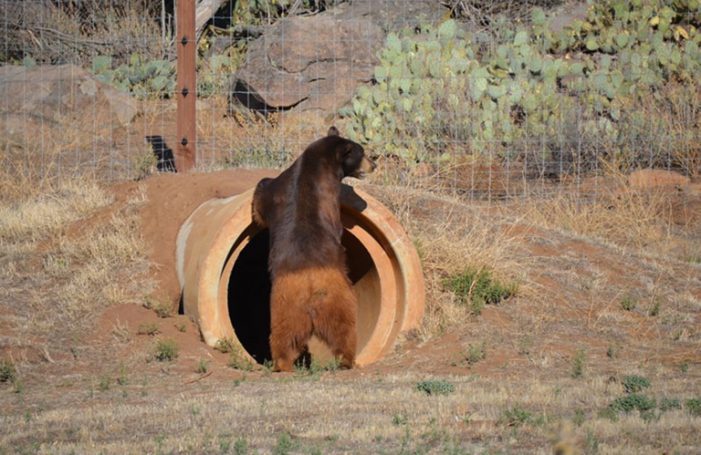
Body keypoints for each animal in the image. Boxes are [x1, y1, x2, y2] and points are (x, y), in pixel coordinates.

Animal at [251, 126, 376, 372]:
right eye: (362, 153)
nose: (373, 164)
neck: (314, 165)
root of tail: (310, 286)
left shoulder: (280, 189)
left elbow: (262, 194)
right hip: (330, 301)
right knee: (342, 330)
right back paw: (345, 360)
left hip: (287, 307)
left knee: (286, 337)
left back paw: (284, 363)